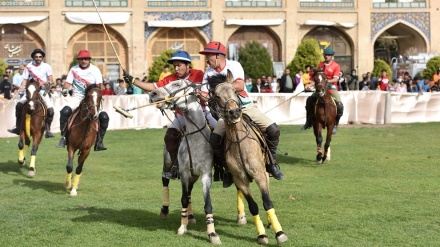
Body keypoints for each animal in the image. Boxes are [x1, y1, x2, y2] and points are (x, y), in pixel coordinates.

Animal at [211, 72, 288, 245]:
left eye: (235, 90)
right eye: (217, 96)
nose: (234, 112)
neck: (239, 141)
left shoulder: (259, 174)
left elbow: (267, 202)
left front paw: (279, 233)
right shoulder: (240, 179)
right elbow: (253, 205)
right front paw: (261, 236)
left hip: (265, 170)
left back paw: (270, 222)